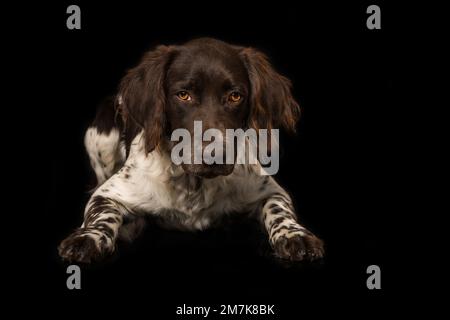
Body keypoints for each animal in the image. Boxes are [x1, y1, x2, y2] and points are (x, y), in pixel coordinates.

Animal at [59, 38, 324, 262]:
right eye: (183, 95)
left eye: (235, 96)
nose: (214, 155)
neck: (193, 184)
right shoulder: (110, 192)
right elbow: (100, 213)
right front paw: (88, 237)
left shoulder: (269, 189)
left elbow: (279, 209)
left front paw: (294, 234)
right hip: (100, 137)